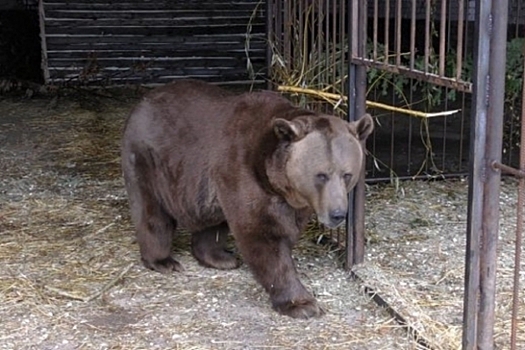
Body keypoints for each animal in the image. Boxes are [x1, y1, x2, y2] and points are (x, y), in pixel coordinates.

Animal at [119, 80, 372, 320]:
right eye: (321, 175)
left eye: (347, 174)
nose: (338, 214)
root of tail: (144, 101)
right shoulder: (241, 170)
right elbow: (261, 235)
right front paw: (302, 304)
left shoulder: (292, 201)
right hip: (147, 160)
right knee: (152, 213)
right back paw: (163, 261)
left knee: (212, 220)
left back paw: (220, 258)